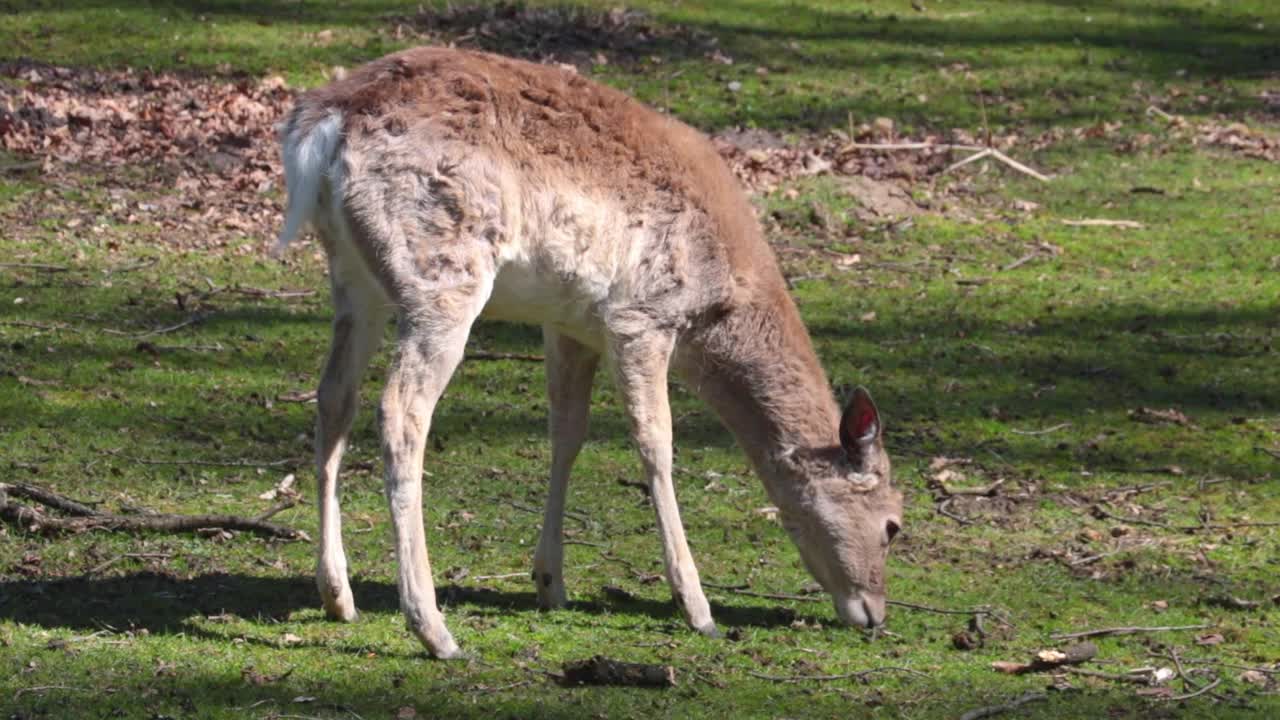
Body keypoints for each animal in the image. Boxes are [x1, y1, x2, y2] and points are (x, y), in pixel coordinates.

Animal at [276, 46, 906, 655]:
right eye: (893, 524)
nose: (874, 614)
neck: (720, 303)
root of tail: (324, 125)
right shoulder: (641, 316)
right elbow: (656, 443)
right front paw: (697, 608)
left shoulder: (571, 325)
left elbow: (568, 432)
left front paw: (551, 583)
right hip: (441, 275)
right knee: (400, 411)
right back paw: (434, 630)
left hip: (353, 278)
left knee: (334, 398)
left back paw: (338, 596)